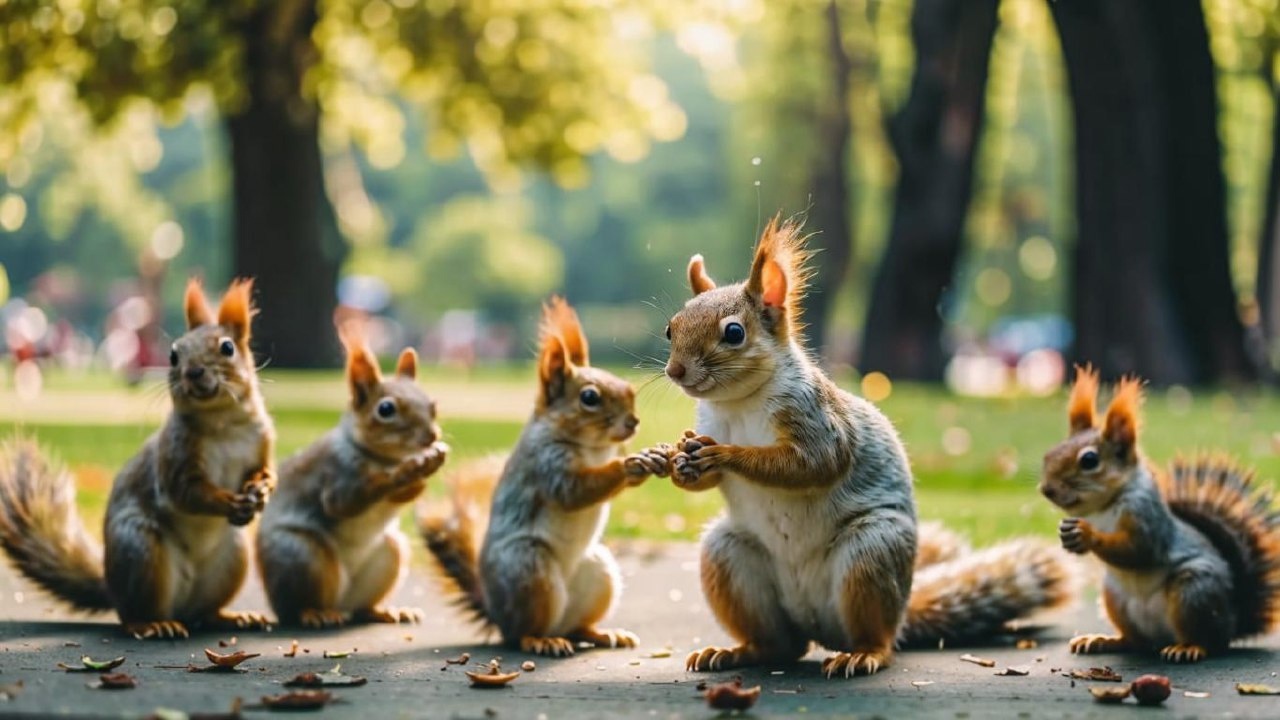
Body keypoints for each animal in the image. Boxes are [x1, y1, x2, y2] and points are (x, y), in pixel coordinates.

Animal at [0, 278, 277, 635]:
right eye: (173, 354)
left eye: (227, 347)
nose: (193, 372)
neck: (223, 422)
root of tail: (111, 587)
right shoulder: (174, 456)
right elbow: (187, 493)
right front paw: (229, 502)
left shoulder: (261, 441)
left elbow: (267, 471)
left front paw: (262, 490)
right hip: (141, 551)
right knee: (132, 614)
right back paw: (153, 625)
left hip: (234, 558)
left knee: (204, 613)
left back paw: (233, 617)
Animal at [254, 317, 450, 622]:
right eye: (385, 409)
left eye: (433, 405)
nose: (431, 436)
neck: (382, 458)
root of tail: (340, 603)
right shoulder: (335, 474)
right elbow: (343, 503)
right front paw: (403, 472)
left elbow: (404, 495)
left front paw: (426, 467)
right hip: (301, 555)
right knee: (297, 605)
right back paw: (314, 613)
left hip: (389, 555)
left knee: (361, 607)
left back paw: (385, 611)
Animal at [424, 295, 675, 655]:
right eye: (589, 398)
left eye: (627, 387)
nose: (633, 423)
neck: (592, 448)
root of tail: (497, 615)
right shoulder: (546, 463)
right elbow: (574, 491)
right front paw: (631, 465)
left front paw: (654, 455)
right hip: (529, 570)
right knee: (525, 632)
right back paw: (541, 641)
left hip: (598, 573)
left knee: (577, 627)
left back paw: (603, 633)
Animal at [645, 215, 1075, 676]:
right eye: (670, 328)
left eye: (734, 333)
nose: (676, 371)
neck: (738, 405)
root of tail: (815, 622)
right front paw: (679, 461)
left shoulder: (817, 422)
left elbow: (810, 464)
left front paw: (725, 455)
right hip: (727, 557)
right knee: (780, 646)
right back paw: (735, 652)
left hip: (872, 553)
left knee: (875, 636)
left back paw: (863, 654)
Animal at [1039, 366, 1280, 661]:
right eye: (1049, 454)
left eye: (1089, 460)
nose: (1047, 489)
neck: (1102, 508)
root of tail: (1234, 621)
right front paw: (1066, 534)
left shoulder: (1146, 517)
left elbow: (1138, 550)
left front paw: (1086, 534)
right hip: (1115, 597)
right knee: (1135, 642)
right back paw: (1103, 640)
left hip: (1192, 592)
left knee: (1209, 641)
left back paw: (1188, 648)